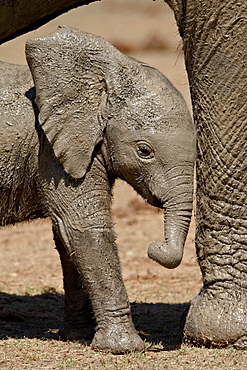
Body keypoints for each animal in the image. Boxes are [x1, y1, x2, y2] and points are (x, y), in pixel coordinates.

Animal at [0, 26, 196, 352]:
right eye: (144, 151)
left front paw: (78, 337)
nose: (154, 247)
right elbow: (84, 227)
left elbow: (66, 236)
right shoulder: (49, 151)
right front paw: (125, 347)